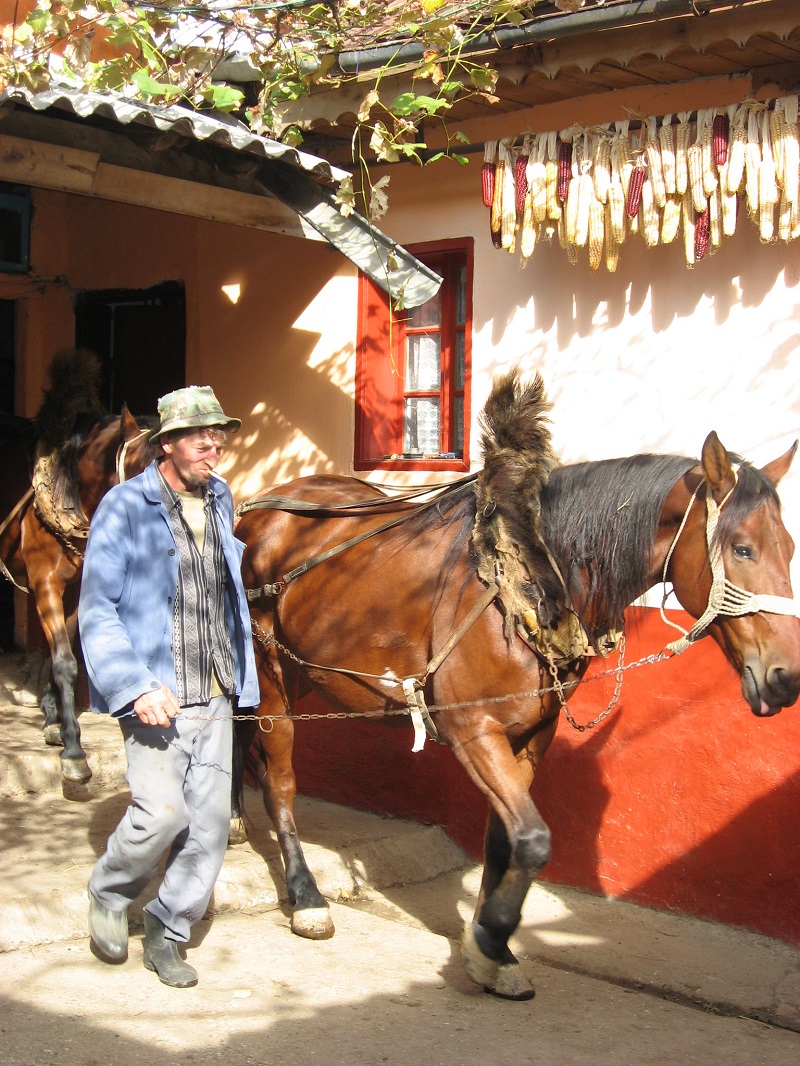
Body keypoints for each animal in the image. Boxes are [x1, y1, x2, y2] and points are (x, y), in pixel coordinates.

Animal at [0, 353, 160, 780]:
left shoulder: (78, 587)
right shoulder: (45, 582)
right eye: (148, 469)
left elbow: (66, 651)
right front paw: (73, 749)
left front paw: (55, 720)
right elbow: (65, 661)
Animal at [231, 373, 800, 997]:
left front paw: (495, 946)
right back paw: (305, 894)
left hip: (300, 672)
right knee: (280, 780)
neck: (529, 576)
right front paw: (492, 937)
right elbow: (532, 839)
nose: (786, 676)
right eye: (742, 548)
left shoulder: (532, 734)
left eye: (790, 549)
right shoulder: (472, 729)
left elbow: (504, 841)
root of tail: (256, 511)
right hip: (270, 673)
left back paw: (232, 822)